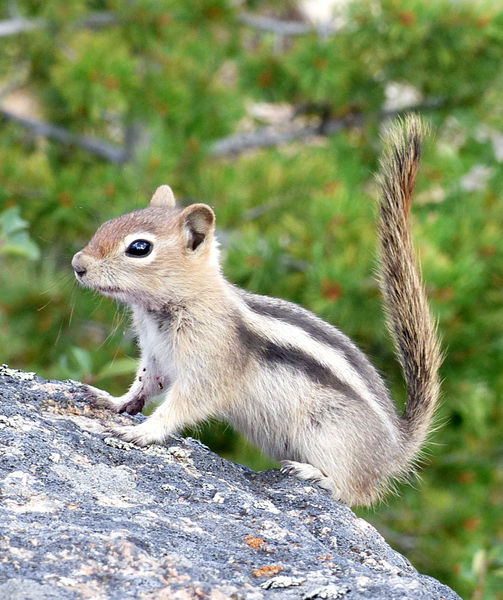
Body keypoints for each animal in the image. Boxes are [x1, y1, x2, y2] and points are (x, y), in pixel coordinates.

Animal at [72, 113, 440, 506]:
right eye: (108, 224)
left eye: (139, 248)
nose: (78, 264)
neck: (166, 309)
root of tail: (396, 449)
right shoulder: (156, 356)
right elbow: (144, 385)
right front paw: (113, 401)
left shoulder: (210, 365)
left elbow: (184, 404)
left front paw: (144, 432)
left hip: (329, 433)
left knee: (354, 492)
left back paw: (315, 474)